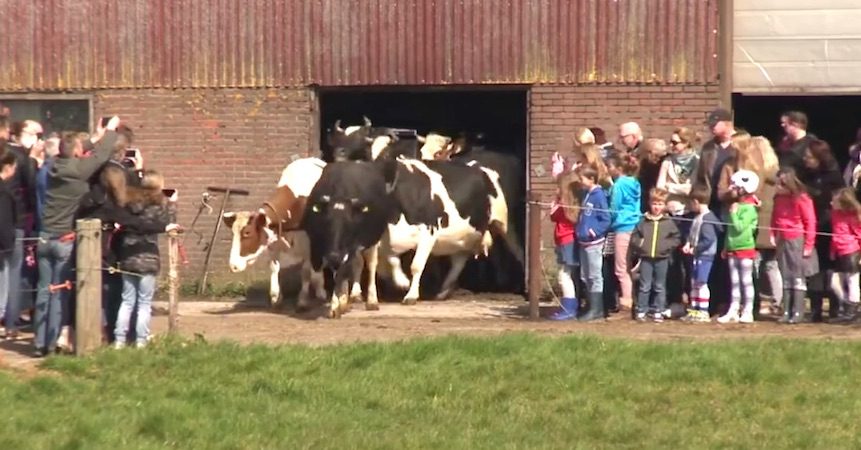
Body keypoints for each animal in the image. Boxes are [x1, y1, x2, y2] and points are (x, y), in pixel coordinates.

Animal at [222, 157, 330, 310]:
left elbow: (306, 272)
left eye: (247, 232)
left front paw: (302, 300)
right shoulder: (273, 241)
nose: (233, 266)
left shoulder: (308, 244)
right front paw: (275, 297)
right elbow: (274, 267)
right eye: (233, 233)